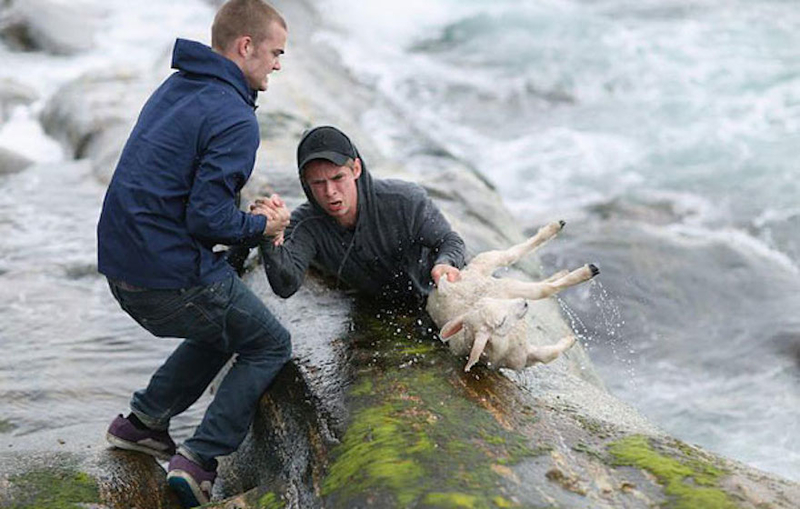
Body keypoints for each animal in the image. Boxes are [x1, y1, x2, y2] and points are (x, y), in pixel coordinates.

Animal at [428, 220, 596, 372]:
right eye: (501, 322)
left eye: (491, 300)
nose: (524, 303)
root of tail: (444, 285)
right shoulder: (525, 357)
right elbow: (548, 355)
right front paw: (571, 340)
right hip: (502, 281)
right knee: (541, 287)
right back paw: (584, 271)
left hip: (489, 266)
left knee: (511, 254)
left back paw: (554, 229)